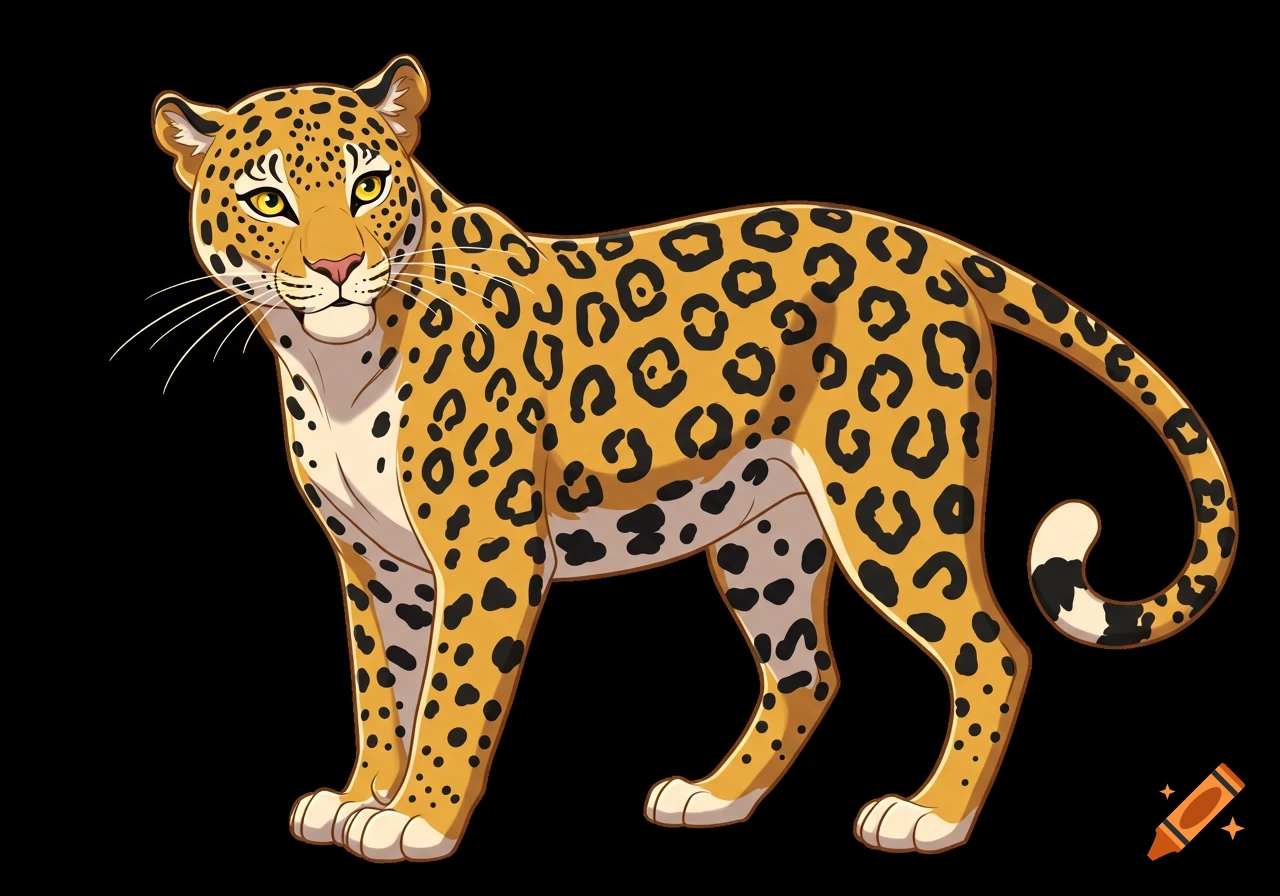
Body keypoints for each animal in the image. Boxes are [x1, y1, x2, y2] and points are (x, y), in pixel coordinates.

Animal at [146, 55, 1238, 862]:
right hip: (766, 530)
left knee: (992, 648)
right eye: (267, 199)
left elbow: (452, 696)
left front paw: (414, 816)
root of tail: (927, 241)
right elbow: (383, 689)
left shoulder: (487, 555)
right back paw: (712, 797)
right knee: (807, 668)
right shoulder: (375, 565)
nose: (336, 267)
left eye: (368, 186)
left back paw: (929, 814)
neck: (332, 365)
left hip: (893, 498)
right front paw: (359, 795)